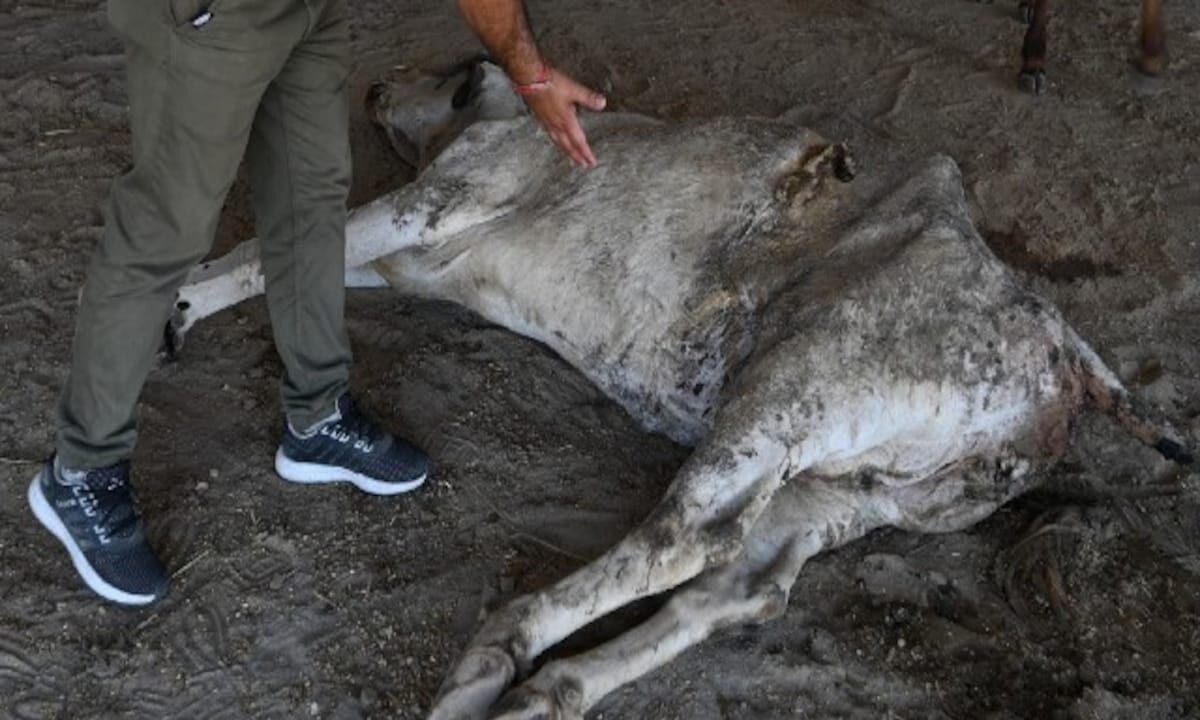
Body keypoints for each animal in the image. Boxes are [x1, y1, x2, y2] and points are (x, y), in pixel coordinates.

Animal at [167, 59, 1195, 720]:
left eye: (447, 74)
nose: (376, 88)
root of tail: (1062, 346)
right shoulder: (412, 255)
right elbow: (296, 263)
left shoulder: (442, 196)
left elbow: (269, 249)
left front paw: (179, 303)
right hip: (852, 489)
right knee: (744, 586)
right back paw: (538, 694)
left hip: (791, 389)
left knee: (686, 537)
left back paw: (496, 650)